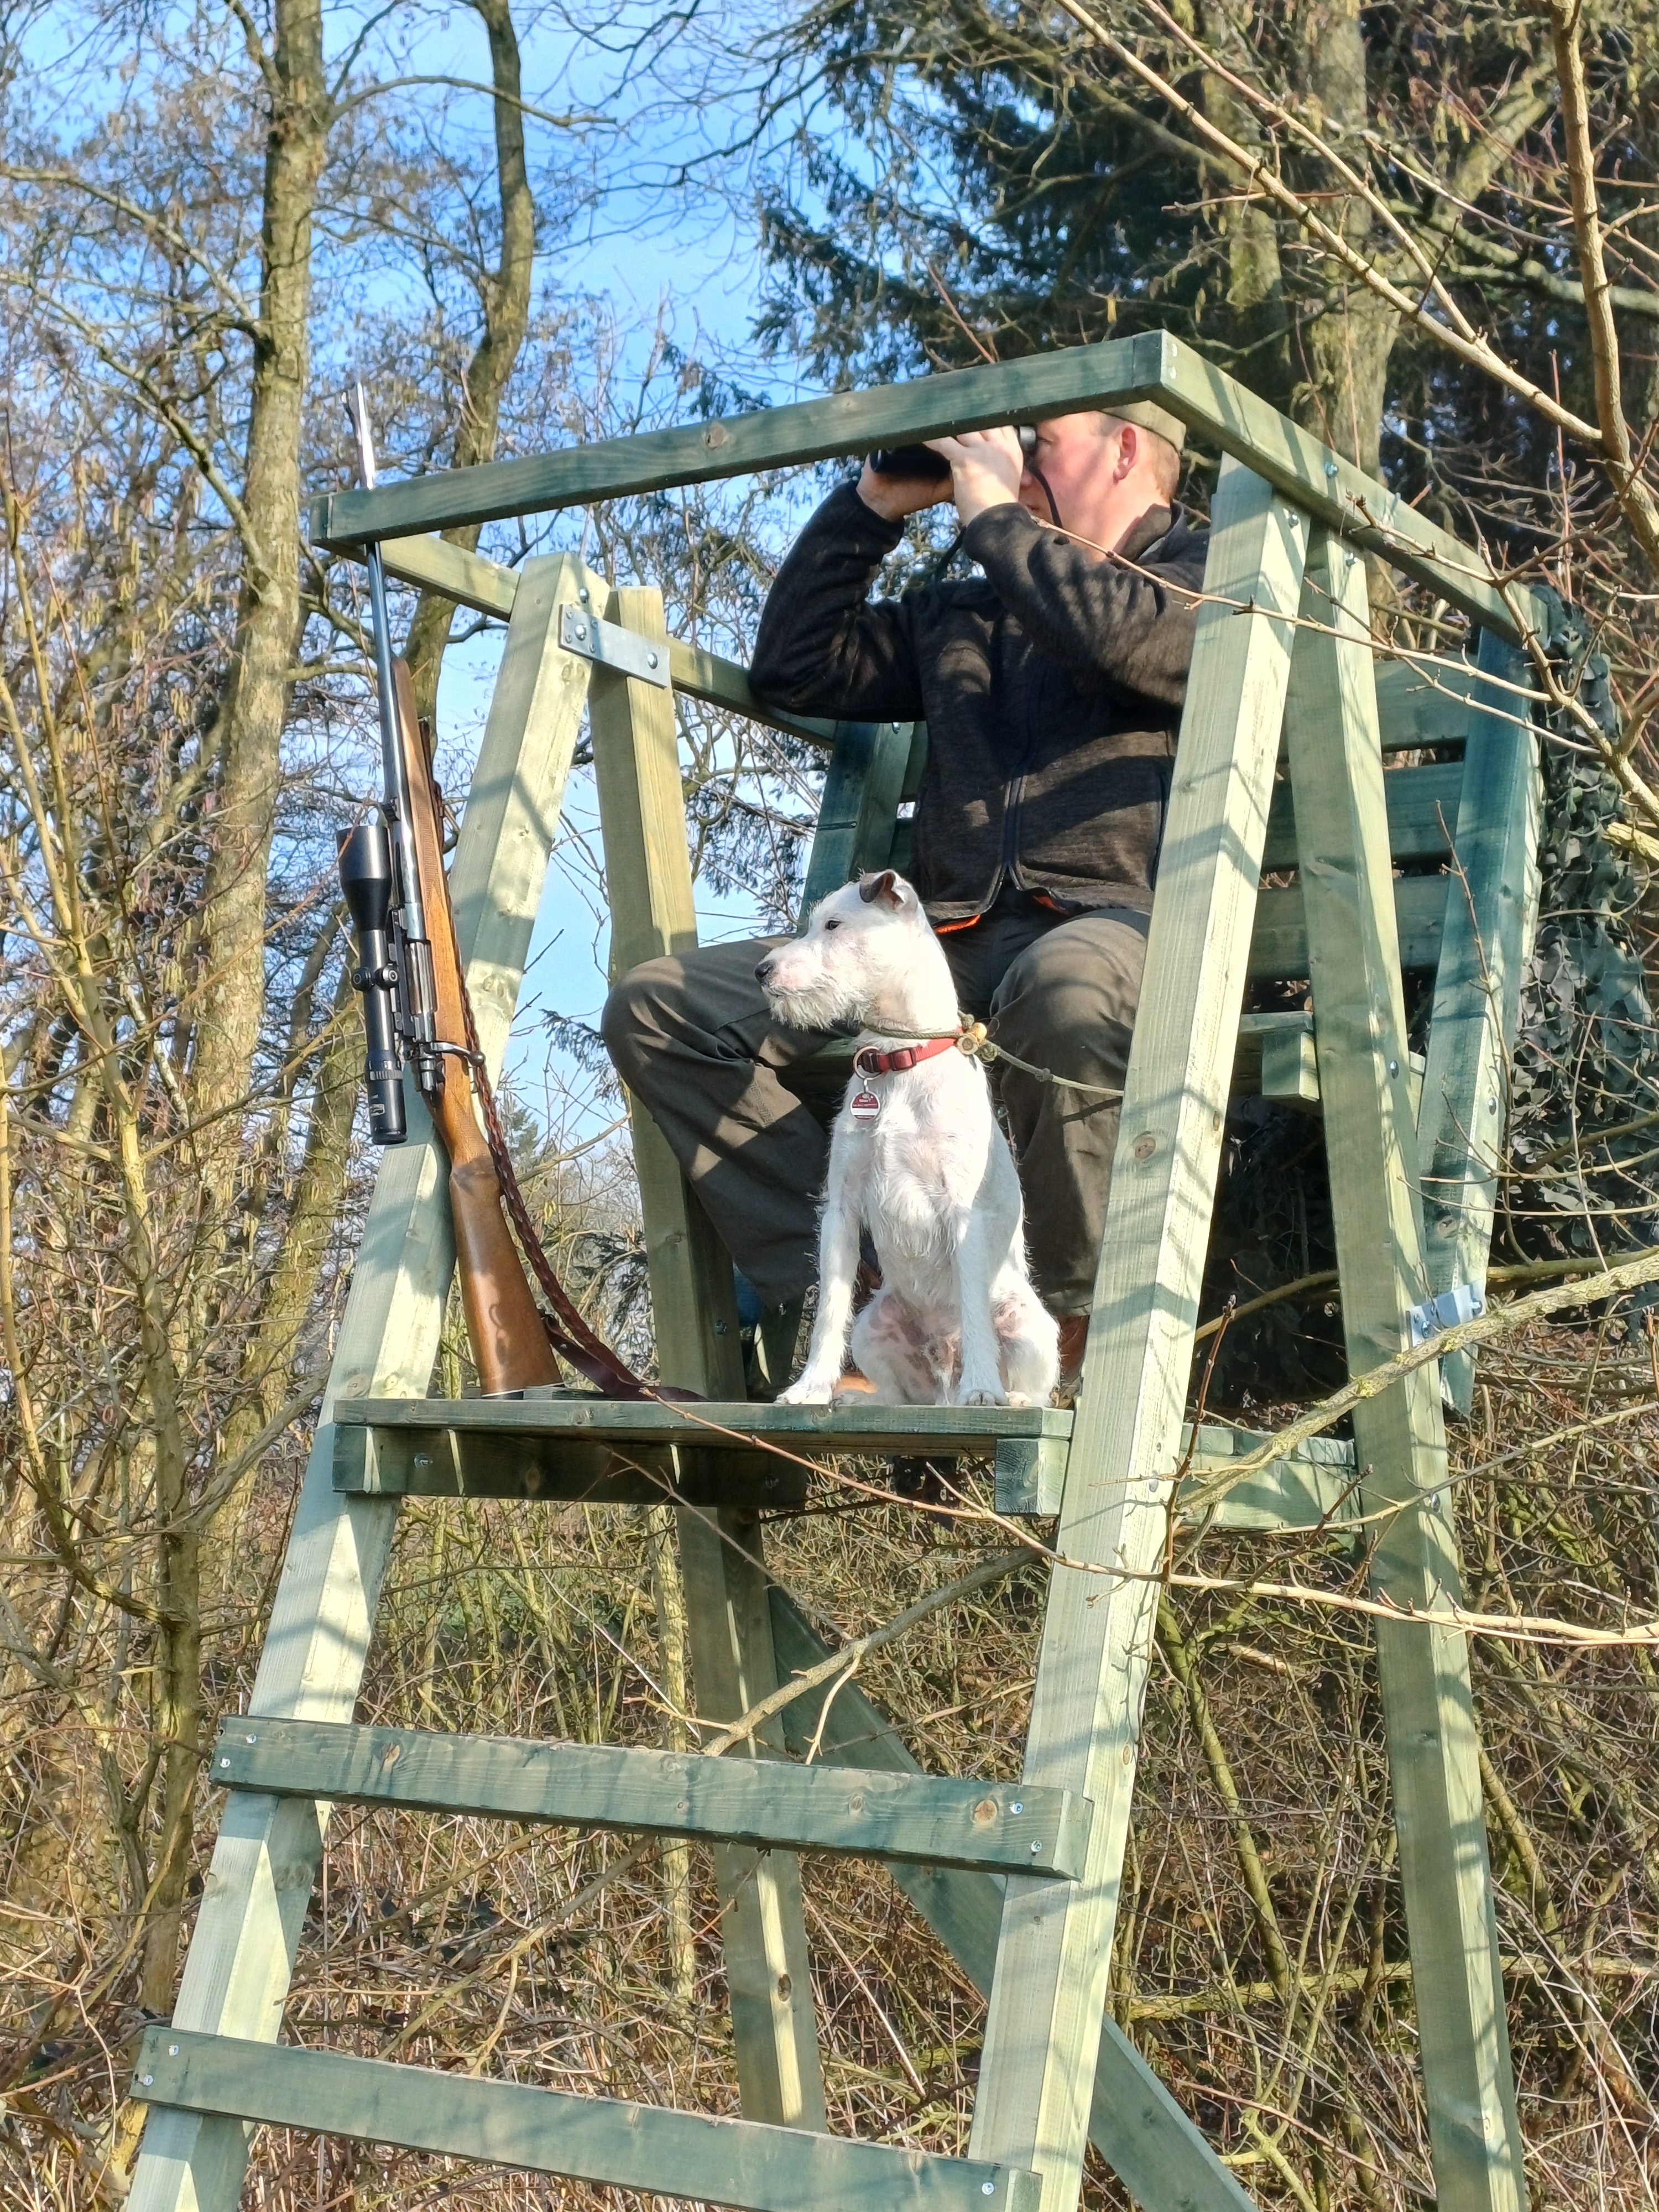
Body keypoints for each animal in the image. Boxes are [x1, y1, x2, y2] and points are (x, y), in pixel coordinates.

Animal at [756, 870, 1060, 1407]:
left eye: (834, 925)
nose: (762, 970)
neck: (899, 1059)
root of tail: (942, 1385)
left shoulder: (964, 1212)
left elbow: (974, 1310)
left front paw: (982, 1388)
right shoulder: (841, 1210)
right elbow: (830, 1310)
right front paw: (810, 1388)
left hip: (1029, 1325)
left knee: (1037, 1388)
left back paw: (1006, 1396)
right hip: (874, 1323)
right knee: (899, 1396)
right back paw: (863, 1397)